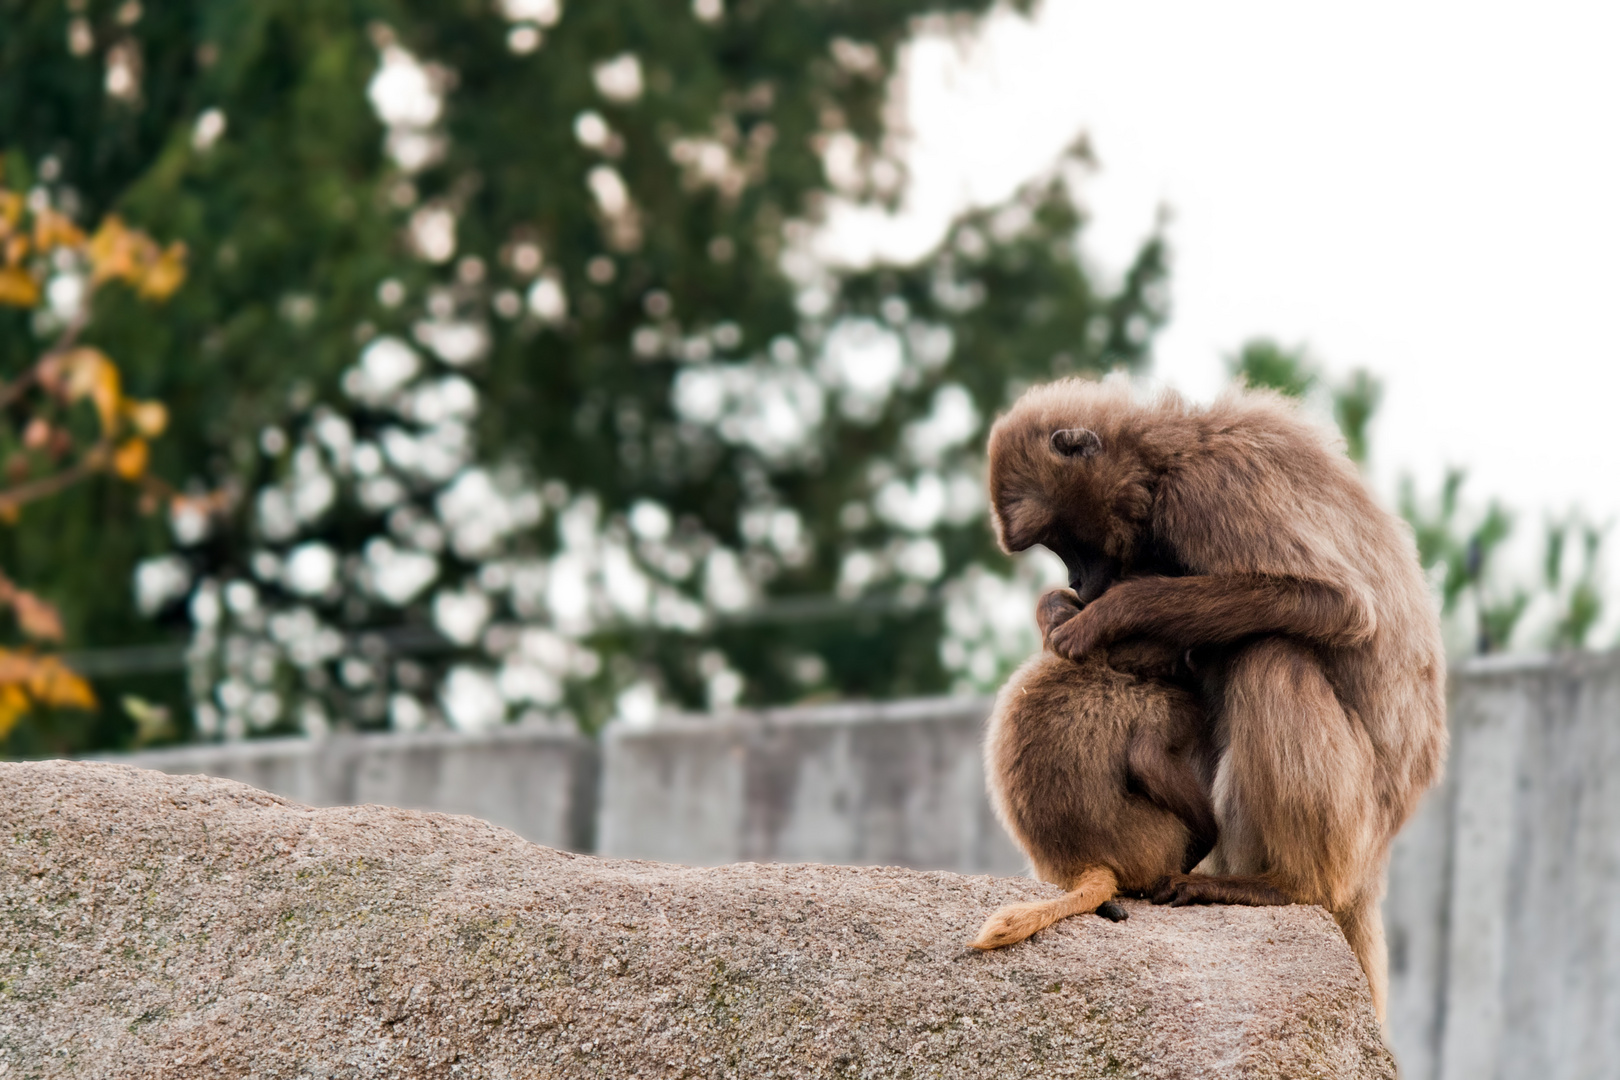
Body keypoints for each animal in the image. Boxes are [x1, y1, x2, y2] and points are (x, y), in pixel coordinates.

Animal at [959, 599, 1218, 952]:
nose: (1191, 663)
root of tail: (1077, 861)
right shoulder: (1169, 703)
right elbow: (1147, 760)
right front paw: (1208, 839)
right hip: (1152, 843)